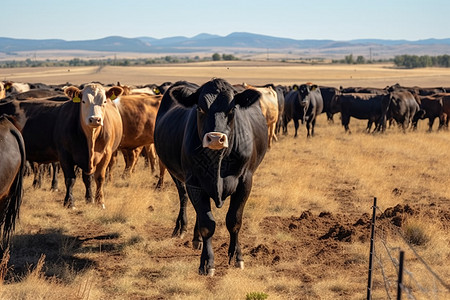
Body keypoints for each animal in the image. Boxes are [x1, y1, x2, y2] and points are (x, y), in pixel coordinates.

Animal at [154, 78, 268, 276]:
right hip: (175, 173)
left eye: (232, 109)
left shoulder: (245, 181)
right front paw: (207, 263)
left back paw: (196, 239)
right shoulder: (194, 183)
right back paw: (181, 229)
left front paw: (236, 256)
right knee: (183, 197)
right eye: (200, 108)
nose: (215, 139)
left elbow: (234, 220)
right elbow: (207, 224)